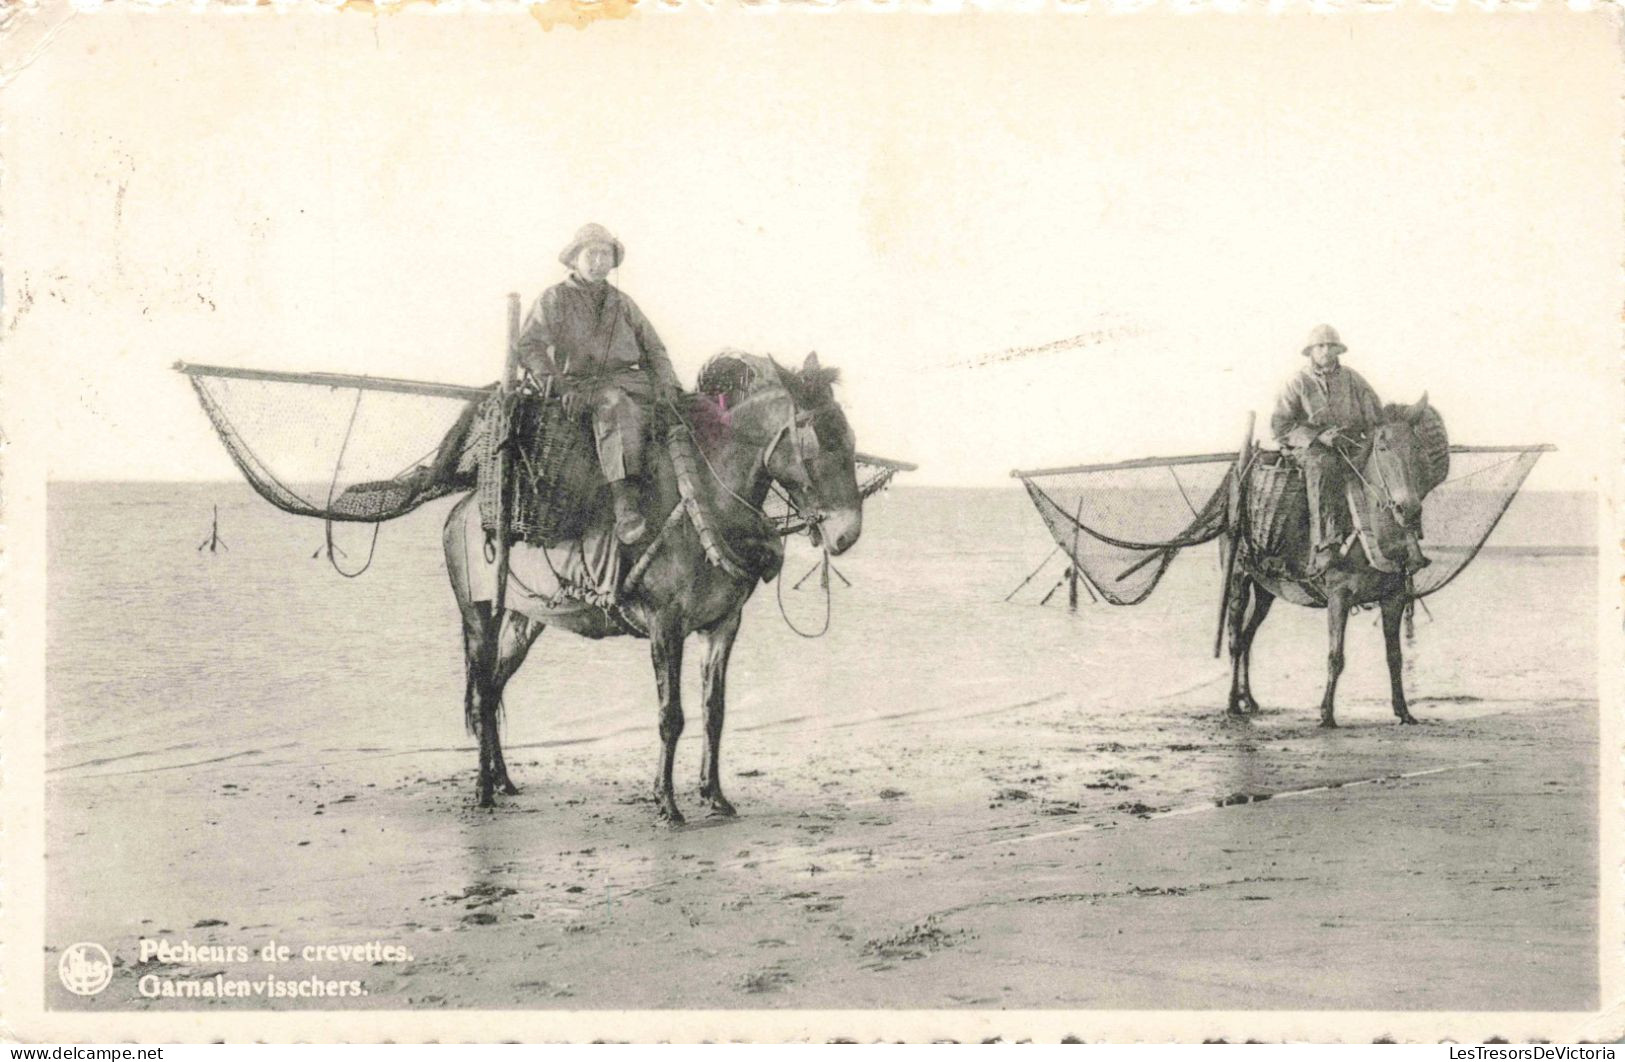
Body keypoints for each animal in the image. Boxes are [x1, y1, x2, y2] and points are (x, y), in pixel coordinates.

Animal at [432, 354, 864, 818]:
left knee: (494, 689)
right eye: (819, 440)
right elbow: (670, 715)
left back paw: (503, 780)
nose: (847, 534)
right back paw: (483, 790)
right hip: (479, 617)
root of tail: (464, 507)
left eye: (850, 438)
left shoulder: (723, 625)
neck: (704, 503)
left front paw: (714, 794)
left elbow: (714, 711)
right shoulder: (665, 626)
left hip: (524, 619)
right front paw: (667, 802)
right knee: (481, 697)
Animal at [1222, 397, 1449, 733]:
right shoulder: (1338, 597)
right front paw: (1326, 714)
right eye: (1383, 447)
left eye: (1417, 447)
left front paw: (1404, 712)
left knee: (1249, 637)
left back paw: (1249, 700)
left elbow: (1394, 656)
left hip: (1267, 590)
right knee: (1235, 639)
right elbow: (1335, 656)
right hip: (1239, 579)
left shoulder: (1394, 598)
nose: (1407, 509)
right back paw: (1231, 704)